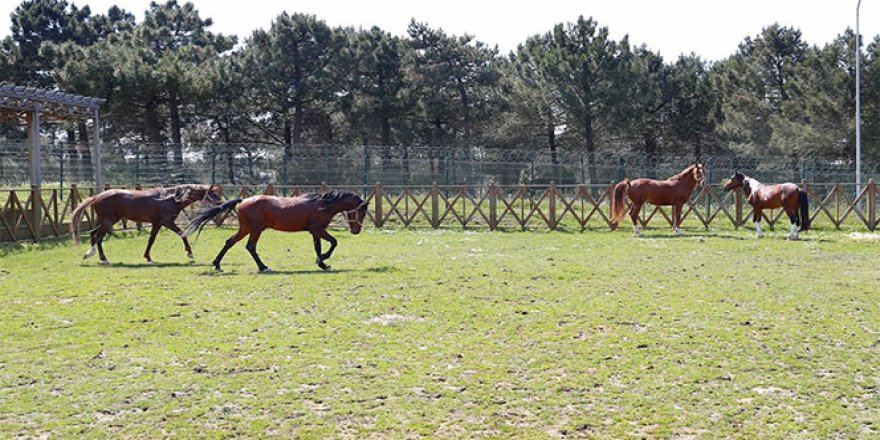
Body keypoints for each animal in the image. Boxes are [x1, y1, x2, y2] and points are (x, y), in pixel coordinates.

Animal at [72, 184, 223, 262]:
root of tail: (96, 197)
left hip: (103, 220)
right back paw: (102, 258)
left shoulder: (157, 223)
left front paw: (148, 257)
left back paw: (91, 254)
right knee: (98, 237)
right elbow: (182, 234)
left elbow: (151, 240)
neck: (170, 199)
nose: (220, 204)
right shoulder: (167, 222)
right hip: (109, 221)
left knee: (93, 235)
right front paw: (190, 253)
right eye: (213, 194)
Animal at [186, 189, 368, 272]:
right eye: (362, 212)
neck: (322, 205)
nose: (356, 231)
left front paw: (322, 263)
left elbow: (318, 247)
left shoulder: (315, 231)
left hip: (246, 228)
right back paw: (263, 267)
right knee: (250, 246)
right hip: (255, 229)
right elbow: (333, 242)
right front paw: (323, 260)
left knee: (230, 242)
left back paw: (217, 264)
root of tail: (243, 201)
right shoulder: (317, 229)